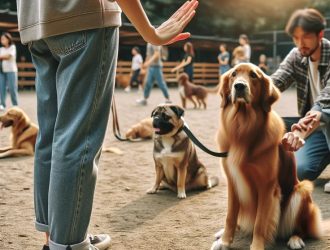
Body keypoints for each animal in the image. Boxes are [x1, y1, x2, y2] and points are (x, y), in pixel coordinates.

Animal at [211, 63, 322, 250]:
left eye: (253, 75)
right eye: (233, 74)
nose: (239, 86)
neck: (243, 127)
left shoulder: (267, 187)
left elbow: (260, 223)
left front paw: (256, 246)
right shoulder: (233, 182)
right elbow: (230, 216)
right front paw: (225, 241)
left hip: (301, 191)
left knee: (302, 228)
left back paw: (295, 239)